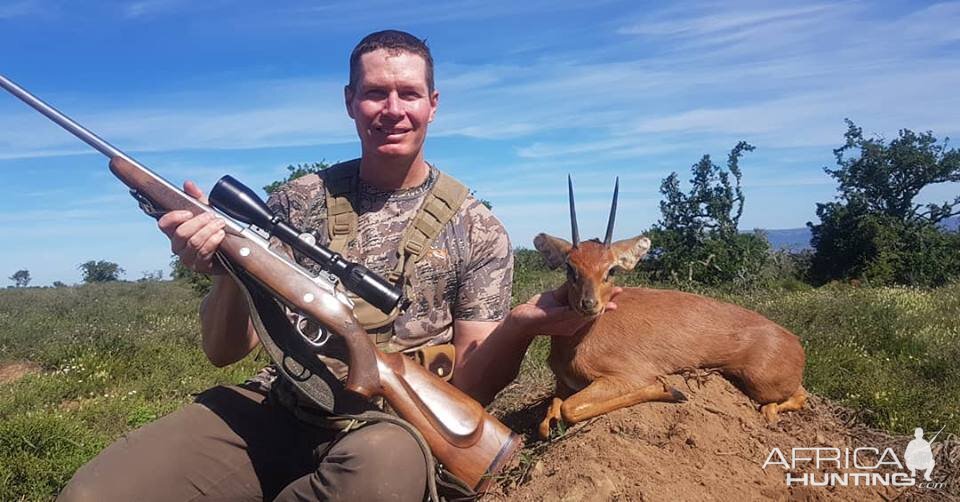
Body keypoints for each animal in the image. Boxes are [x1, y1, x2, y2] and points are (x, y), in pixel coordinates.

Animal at [536, 177, 808, 440]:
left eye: (611, 270)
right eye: (570, 267)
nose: (589, 304)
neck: (576, 344)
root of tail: (795, 342)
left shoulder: (625, 376)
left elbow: (569, 408)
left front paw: (670, 390)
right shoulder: (563, 384)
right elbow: (549, 416)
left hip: (760, 383)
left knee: (798, 395)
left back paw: (768, 413)